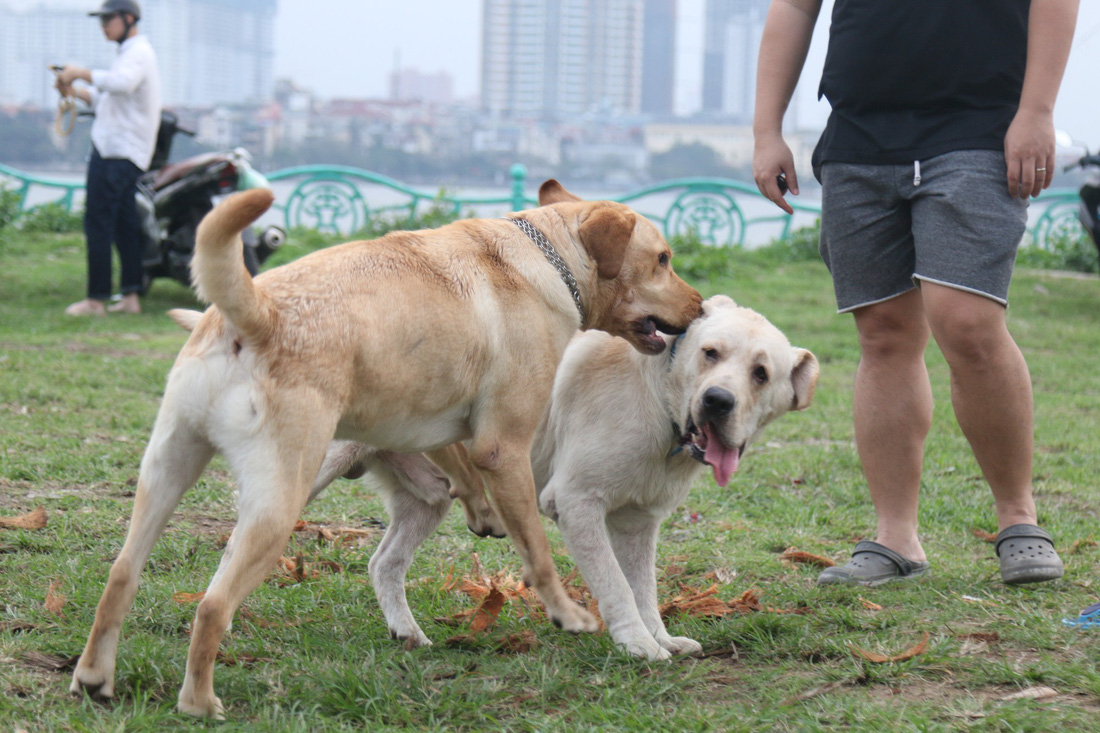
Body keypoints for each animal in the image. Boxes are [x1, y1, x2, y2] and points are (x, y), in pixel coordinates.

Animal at [70, 179, 704, 717]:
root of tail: (256, 311)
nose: (699, 307)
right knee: (212, 605)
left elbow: (463, 474)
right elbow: (538, 550)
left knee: (122, 574)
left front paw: (481, 513)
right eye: (664, 259)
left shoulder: (450, 433)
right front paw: (568, 615)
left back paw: (94, 678)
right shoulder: (503, 447)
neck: (549, 258)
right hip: (282, 497)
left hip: (168, 470)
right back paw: (198, 703)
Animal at [310, 294, 818, 660]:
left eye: (760, 373)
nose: (716, 400)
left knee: (384, 563)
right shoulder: (577, 504)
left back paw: (407, 633)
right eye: (710, 353)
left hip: (429, 499)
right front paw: (638, 645)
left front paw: (661, 637)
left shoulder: (638, 522)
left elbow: (643, 588)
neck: (658, 398)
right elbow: (616, 586)